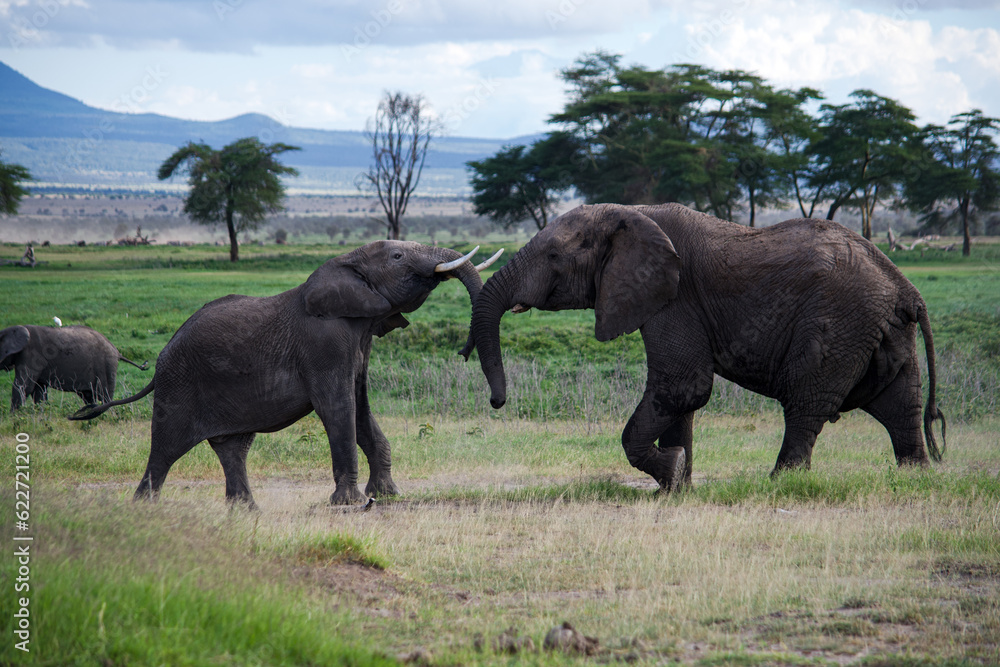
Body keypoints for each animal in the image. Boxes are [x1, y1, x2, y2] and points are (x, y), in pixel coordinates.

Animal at [1, 324, 148, 413]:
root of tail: (117, 351)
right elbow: (39, 391)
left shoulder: (32, 355)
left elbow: (23, 386)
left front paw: (14, 416)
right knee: (88, 395)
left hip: (106, 365)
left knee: (104, 395)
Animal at [71, 241, 502, 508]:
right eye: (397, 255)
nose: (464, 351)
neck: (345, 263)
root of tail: (161, 358)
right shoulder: (324, 343)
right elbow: (338, 408)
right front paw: (350, 504)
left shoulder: (358, 343)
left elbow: (361, 408)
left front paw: (388, 495)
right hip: (178, 385)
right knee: (165, 449)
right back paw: (144, 510)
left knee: (233, 447)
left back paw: (247, 512)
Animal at [471, 203, 946, 491]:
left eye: (553, 256)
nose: (497, 401)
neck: (630, 213)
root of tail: (905, 286)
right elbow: (682, 399)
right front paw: (676, 488)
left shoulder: (675, 298)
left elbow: (683, 387)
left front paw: (672, 471)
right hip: (880, 329)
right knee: (899, 404)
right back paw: (916, 479)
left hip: (840, 320)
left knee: (806, 401)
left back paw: (778, 485)